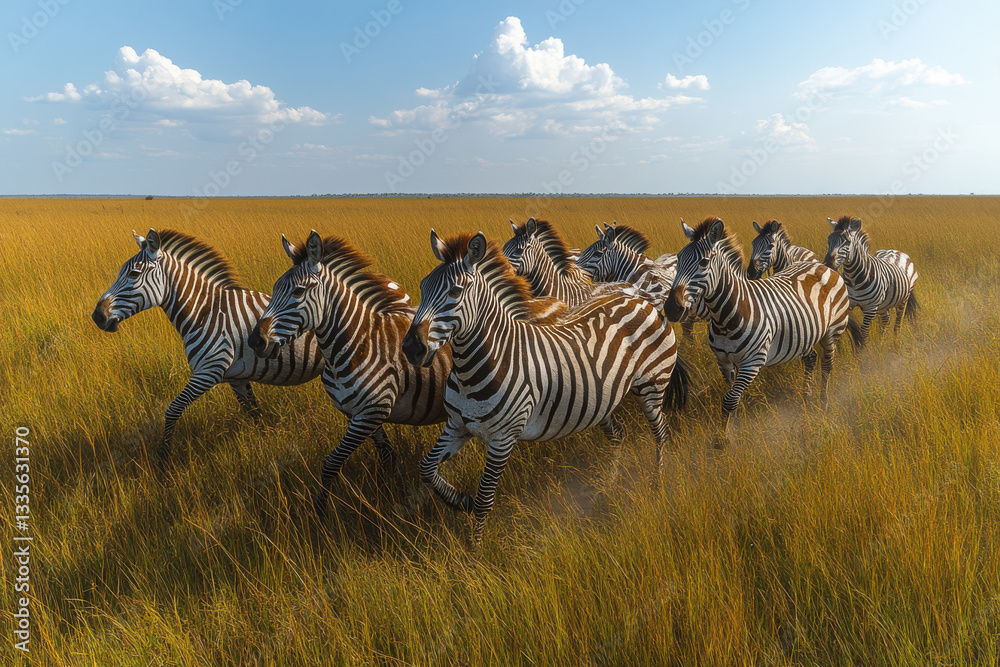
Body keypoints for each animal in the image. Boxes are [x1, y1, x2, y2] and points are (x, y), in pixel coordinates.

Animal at [92, 228, 325, 465]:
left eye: (134, 274)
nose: (97, 317)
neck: (205, 312)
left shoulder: (209, 370)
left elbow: (173, 409)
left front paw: (163, 460)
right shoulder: (237, 378)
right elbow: (254, 413)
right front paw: (265, 442)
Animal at [247, 231, 452, 515]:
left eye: (298, 291)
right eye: (275, 289)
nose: (255, 341)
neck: (355, 345)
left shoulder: (371, 411)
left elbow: (331, 463)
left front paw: (321, 513)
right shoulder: (358, 414)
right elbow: (387, 456)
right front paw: (393, 490)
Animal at [401, 230, 689, 545]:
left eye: (455, 291)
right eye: (422, 286)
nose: (411, 348)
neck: (475, 367)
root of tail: (643, 300)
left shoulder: (503, 438)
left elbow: (485, 498)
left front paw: (474, 548)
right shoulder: (457, 425)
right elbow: (426, 469)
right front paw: (460, 501)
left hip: (652, 386)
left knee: (661, 434)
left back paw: (656, 484)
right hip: (603, 399)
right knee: (618, 436)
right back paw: (609, 486)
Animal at [664, 218, 852, 439]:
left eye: (703, 263)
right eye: (677, 259)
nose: (671, 308)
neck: (725, 319)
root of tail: (823, 266)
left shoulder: (752, 363)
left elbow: (728, 400)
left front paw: (723, 440)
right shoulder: (723, 361)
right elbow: (732, 397)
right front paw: (733, 426)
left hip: (832, 332)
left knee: (827, 365)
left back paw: (823, 402)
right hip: (805, 333)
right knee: (811, 358)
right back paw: (806, 396)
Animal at [824, 216, 919, 346]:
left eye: (847, 242)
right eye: (829, 240)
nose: (828, 264)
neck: (854, 279)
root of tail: (896, 251)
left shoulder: (870, 309)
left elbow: (864, 332)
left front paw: (864, 350)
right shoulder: (849, 304)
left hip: (903, 300)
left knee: (897, 323)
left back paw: (895, 342)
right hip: (884, 303)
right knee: (885, 320)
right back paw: (881, 343)